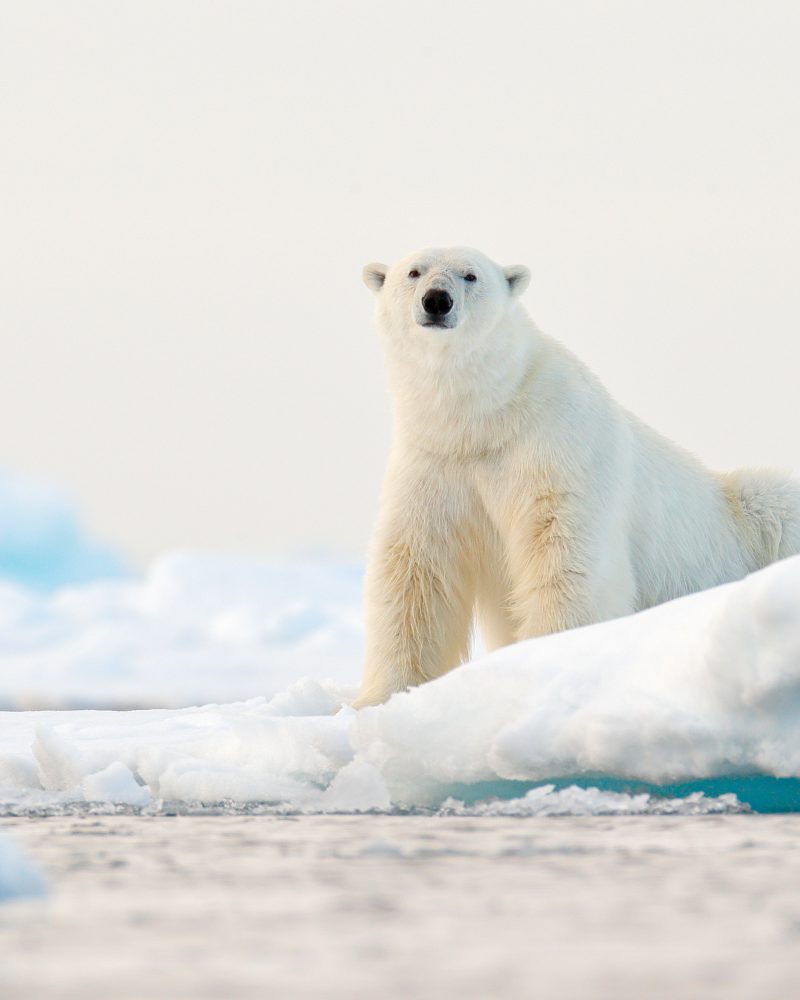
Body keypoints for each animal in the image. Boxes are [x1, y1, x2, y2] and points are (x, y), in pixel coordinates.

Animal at [352, 246, 800, 707]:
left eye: (470, 275)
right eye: (413, 272)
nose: (437, 300)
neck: (487, 417)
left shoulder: (556, 443)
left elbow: (563, 550)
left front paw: (548, 659)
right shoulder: (435, 463)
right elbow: (416, 571)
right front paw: (379, 698)